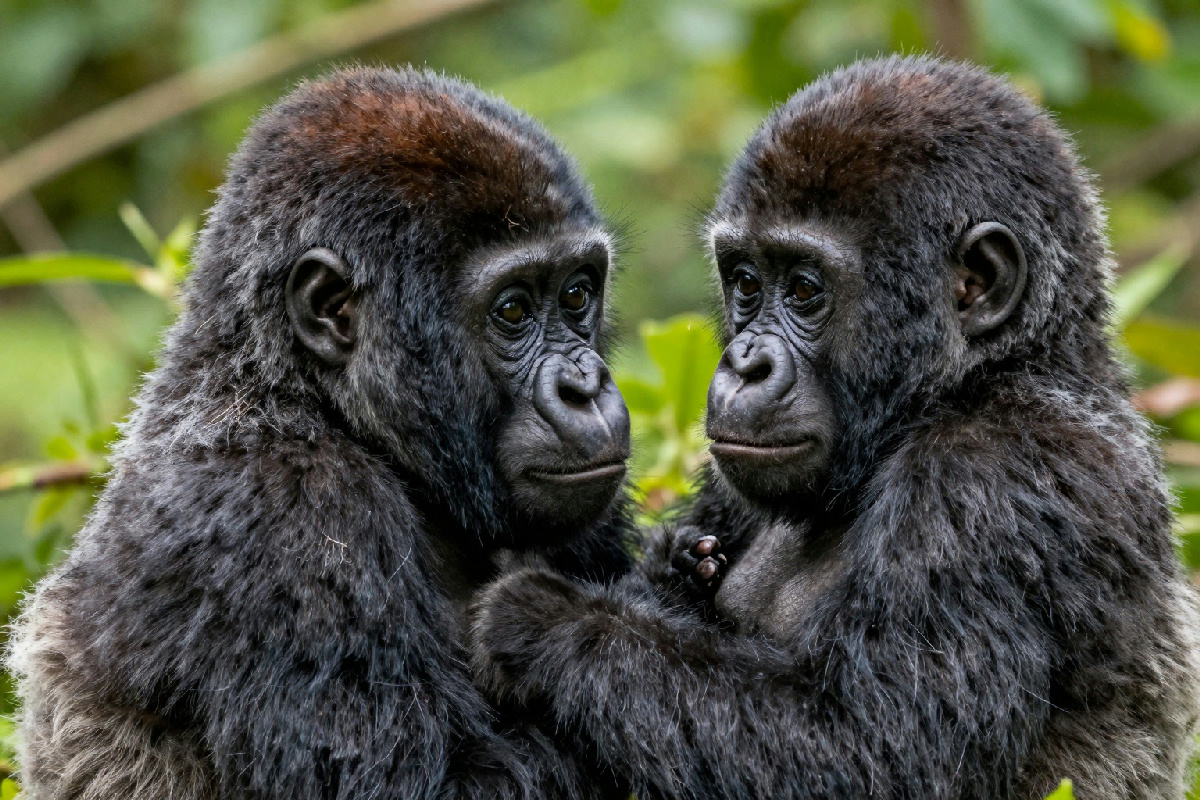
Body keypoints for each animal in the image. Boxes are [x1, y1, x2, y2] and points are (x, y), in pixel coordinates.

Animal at [8, 66, 634, 800]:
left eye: (576, 295)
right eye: (512, 310)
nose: (585, 386)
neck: (286, 383)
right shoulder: (287, 511)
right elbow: (450, 785)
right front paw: (564, 629)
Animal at [469, 55, 1200, 799]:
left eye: (804, 290)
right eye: (746, 282)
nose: (744, 364)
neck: (1009, 368)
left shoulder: (993, 475)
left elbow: (871, 752)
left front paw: (543, 620)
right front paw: (673, 570)